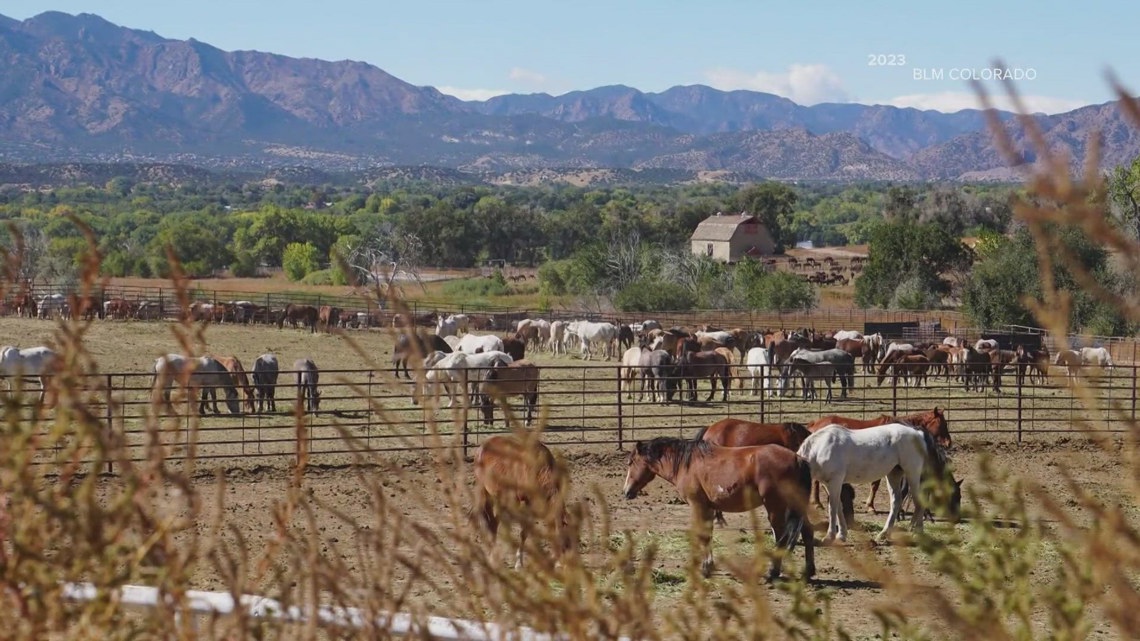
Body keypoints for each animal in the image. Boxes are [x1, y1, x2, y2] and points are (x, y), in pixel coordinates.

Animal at [471, 431, 574, 565]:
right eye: (565, 544)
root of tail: (483, 446)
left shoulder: (532, 503)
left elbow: (525, 532)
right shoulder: (520, 502)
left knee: (494, 522)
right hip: (484, 491)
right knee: (488, 522)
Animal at [624, 433, 820, 579]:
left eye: (631, 462)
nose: (626, 491)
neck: (688, 464)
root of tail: (797, 459)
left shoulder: (698, 505)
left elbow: (702, 535)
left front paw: (704, 569)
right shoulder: (709, 508)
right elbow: (708, 535)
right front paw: (708, 565)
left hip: (775, 507)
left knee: (781, 537)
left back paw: (773, 572)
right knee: (807, 532)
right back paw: (808, 571)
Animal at [798, 419, 957, 542]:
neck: (821, 447)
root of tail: (917, 433)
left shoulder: (835, 481)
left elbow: (832, 508)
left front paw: (830, 536)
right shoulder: (829, 484)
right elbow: (838, 507)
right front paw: (841, 535)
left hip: (912, 473)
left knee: (918, 502)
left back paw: (914, 531)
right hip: (894, 474)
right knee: (896, 501)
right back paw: (886, 533)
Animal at [802, 406, 953, 510]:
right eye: (943, 424)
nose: (949, 443)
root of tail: (814, 424)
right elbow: (875, 485)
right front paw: (870, 506)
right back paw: (817, 503)